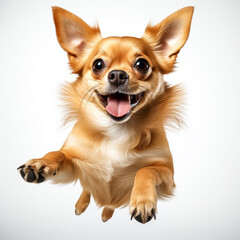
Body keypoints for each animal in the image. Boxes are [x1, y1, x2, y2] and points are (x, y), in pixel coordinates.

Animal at [17, 6, 193, 223]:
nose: (117, 74)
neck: (117, 130)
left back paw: (106, 213)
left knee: (111, 202)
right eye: (98, 65)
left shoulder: (167, 173)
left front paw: (143, 201)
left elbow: (146, 170)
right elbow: (58, 154)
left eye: (142, 64)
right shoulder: (77, 167)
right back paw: (81, 205)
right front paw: (40, 163)